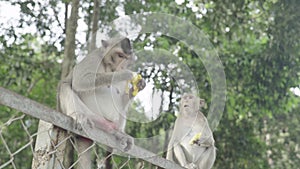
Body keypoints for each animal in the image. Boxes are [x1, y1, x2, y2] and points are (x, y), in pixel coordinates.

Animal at [58, 37, 145, 169]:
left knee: (121, 112)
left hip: (109, 124)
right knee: (65, 86)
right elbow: (80, 81)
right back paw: (78, 115)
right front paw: (126, 74)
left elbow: (122, 101)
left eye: (126, 58)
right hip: (91, 116)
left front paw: (139, 86)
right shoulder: (94, 57)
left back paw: (119, 133)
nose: (121, 67)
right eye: (120, 55)